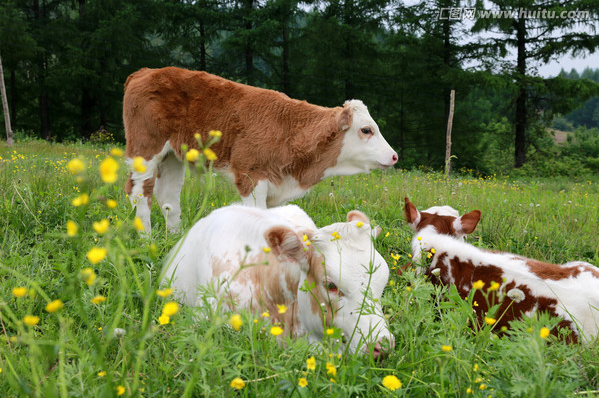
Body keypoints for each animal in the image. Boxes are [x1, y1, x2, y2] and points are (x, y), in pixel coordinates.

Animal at [122, 67, 398, 232]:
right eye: (366, 130)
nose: (395, 156)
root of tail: (147, 71)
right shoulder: (251, 177)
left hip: (172, 156)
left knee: (168, 196)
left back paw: (175, 237)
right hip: (145, 149)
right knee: (139, 192)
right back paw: (146, 239)